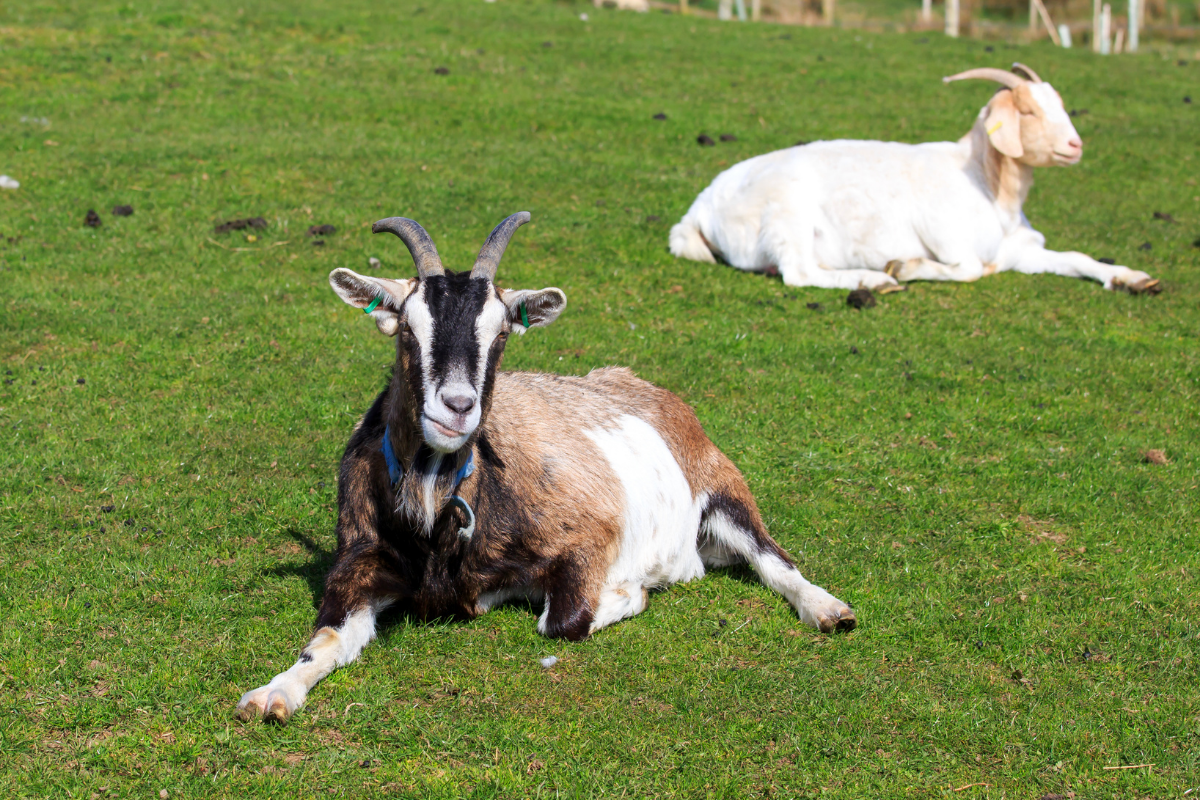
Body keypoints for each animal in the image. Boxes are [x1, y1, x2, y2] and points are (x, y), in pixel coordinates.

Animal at [236, 213, 857, 724]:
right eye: (408, 327)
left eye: (502, 332)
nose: (457, 407)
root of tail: (650, 390)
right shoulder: (359, 563)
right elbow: (324, 639)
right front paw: (272, 694)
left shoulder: (590, 534)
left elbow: (564, 620)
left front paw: (630, 592)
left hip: (725, 490)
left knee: (773, 558)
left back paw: (829, 610)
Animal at [669, 63, 1159, 294]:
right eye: (1027, 110)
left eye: (1057, 103)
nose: (1075, 146)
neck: (986, 185)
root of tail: (699, 208)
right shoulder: (946, 234)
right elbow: (970, 270)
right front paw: (904, 266)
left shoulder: (1019, 250)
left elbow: (1076, 257)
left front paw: (1133, 278)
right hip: (786, 213)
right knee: (799, 273)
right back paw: (873, 281)